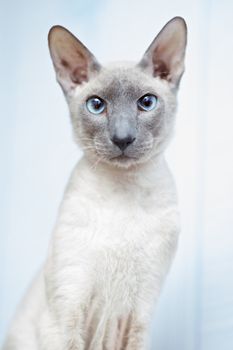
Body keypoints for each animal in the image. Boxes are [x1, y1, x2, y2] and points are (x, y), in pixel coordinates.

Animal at [2, 16, 187, 350]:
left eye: (147, 103)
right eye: (97, 106)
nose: (123, 138)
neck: (124, 191)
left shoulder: (138, 318)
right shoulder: (67, 313)